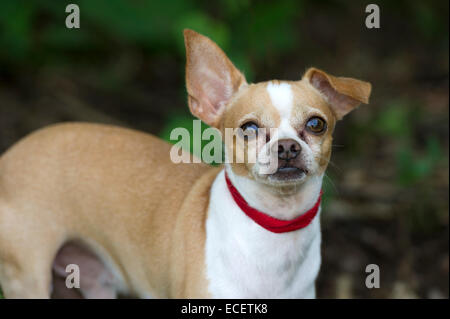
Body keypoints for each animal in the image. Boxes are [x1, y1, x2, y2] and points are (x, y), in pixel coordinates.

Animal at [0, 30, 370, 300]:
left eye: (316, 124)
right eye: (249, 128)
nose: (288, 147)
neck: (275, 226)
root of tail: (9, 156)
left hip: (96, 281)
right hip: (28, 279)